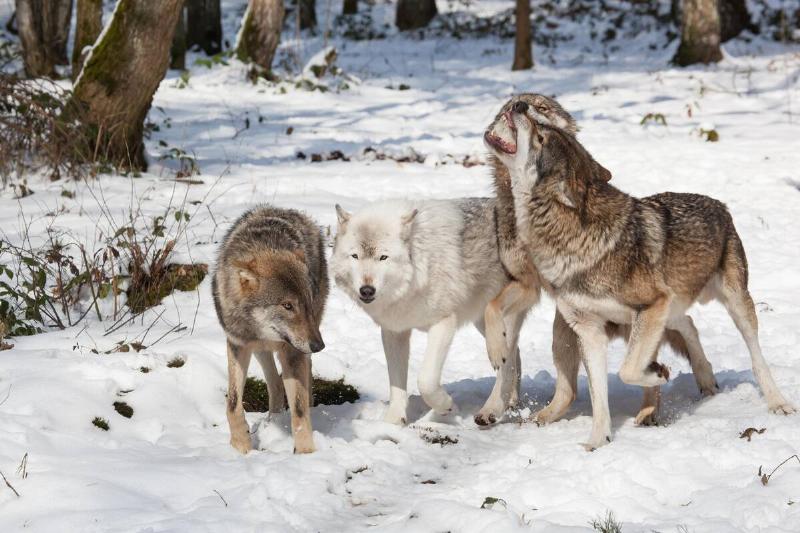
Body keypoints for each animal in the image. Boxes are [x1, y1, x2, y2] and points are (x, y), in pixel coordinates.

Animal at [212, 205, 328, 454]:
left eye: (306, 301)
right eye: (287, 305)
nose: (319, 346)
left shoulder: (293, 351)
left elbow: (299, 410)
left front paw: (306, 454)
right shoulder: (238, 344)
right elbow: (232, 403)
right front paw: (241, 445)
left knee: (302, 380)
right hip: (260, 350)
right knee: (274, 382)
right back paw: (273, 419)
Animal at [332, 199, 527, 426]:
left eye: (383, 257)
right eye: (355, 256)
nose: (367, 290)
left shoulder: (444, 324)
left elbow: (425, 380)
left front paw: (445, 406)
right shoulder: (394, 331)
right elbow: (396, 383)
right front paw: (393, 421)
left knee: (507, 363)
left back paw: (492, 410)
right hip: (483, 323)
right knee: (515, 354)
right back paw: (512, 402)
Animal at [485, 99, 795, 449]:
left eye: (541, 135)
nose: (519, 104)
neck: (569, 239)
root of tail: (720, 205)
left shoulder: (649, 306)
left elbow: (627, 371)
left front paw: (656, 372)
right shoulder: (590, 330)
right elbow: (600, 397)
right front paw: (598, 441)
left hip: (734, 305)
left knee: (756, 356)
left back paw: (777, 402)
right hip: (663, 312)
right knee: (689, 324)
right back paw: (703, 378)